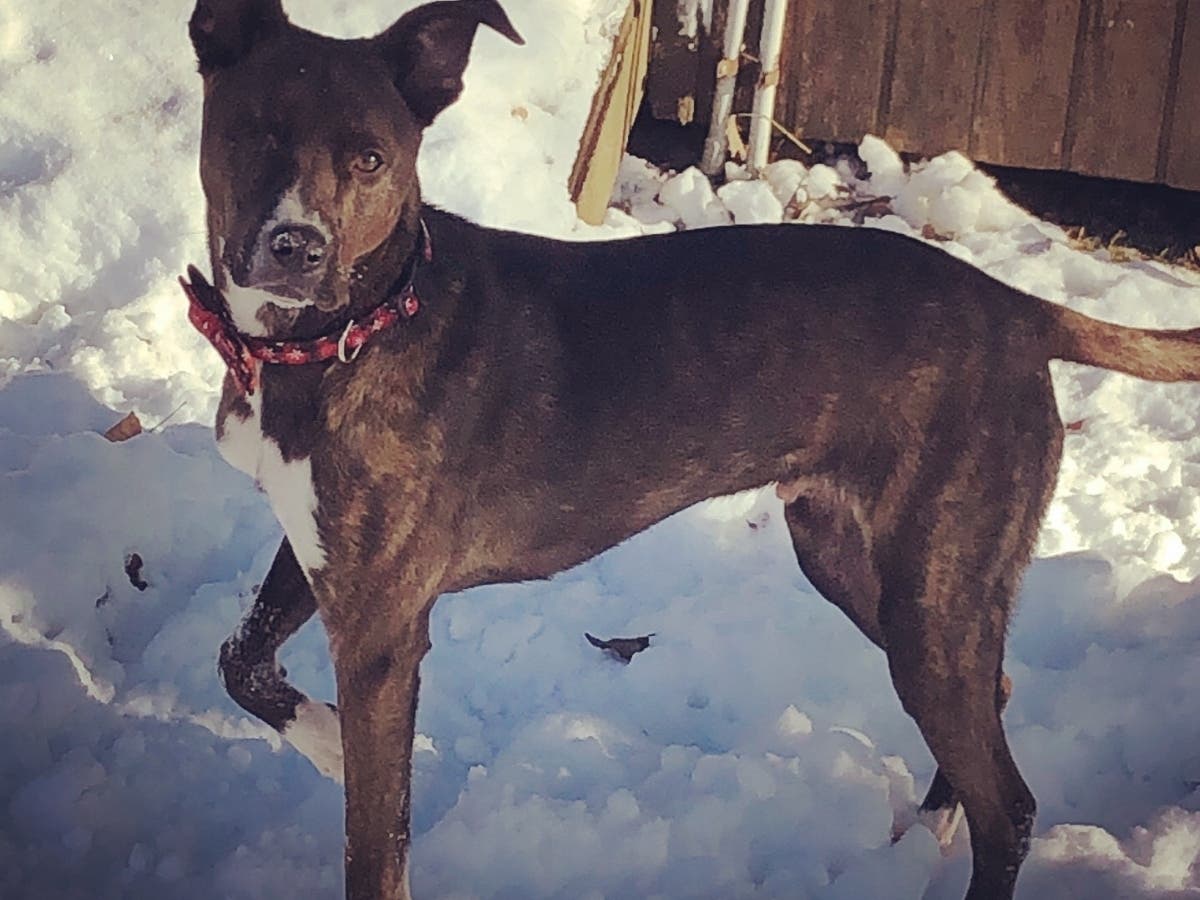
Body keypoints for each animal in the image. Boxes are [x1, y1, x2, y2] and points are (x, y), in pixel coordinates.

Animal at [182, 1, 1200, 897]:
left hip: (928, 598)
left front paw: (339, 757)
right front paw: (319, 737)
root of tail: (1018, 309)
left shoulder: (383, 626)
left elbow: (376, 842)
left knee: (1012, 808)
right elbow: (239, 656)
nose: (296, 247)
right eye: (251, 134)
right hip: (860, 565)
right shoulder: (321, 555)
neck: (345, 332)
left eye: (371, 159)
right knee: (997, 696)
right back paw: (929, 824)